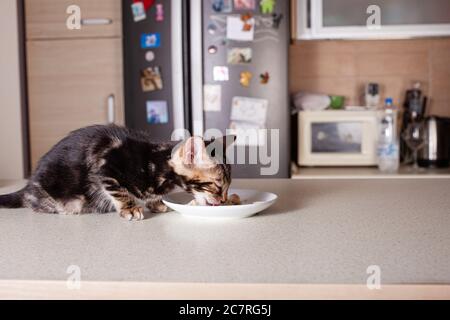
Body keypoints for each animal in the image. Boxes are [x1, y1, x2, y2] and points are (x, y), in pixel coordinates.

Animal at [0, 124, 237, 220]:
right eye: (216, 185)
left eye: (228, 187)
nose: (223, 201)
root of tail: (28, 186)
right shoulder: (105, 165)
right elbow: (119, 191)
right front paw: (130, 209)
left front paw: (156, 203)